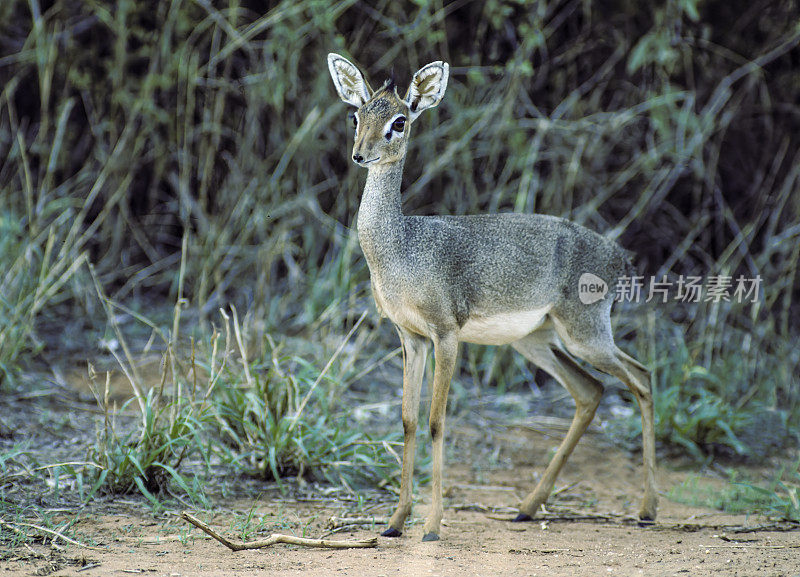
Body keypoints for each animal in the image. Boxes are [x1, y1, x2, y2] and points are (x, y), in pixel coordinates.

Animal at [324, 54, 656, 540]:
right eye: (357, 115)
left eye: (399, 121)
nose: (359, 155)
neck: (401, 249)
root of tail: (620, 257)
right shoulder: (410, 337)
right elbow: (407, 420)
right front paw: (394, 522)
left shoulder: (446, 335)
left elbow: (437, 421)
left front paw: (432, 526)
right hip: (536, 341)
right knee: (592, 390)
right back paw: (527, 507)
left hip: (586, 334)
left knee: (642, 378)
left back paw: (649, 510)